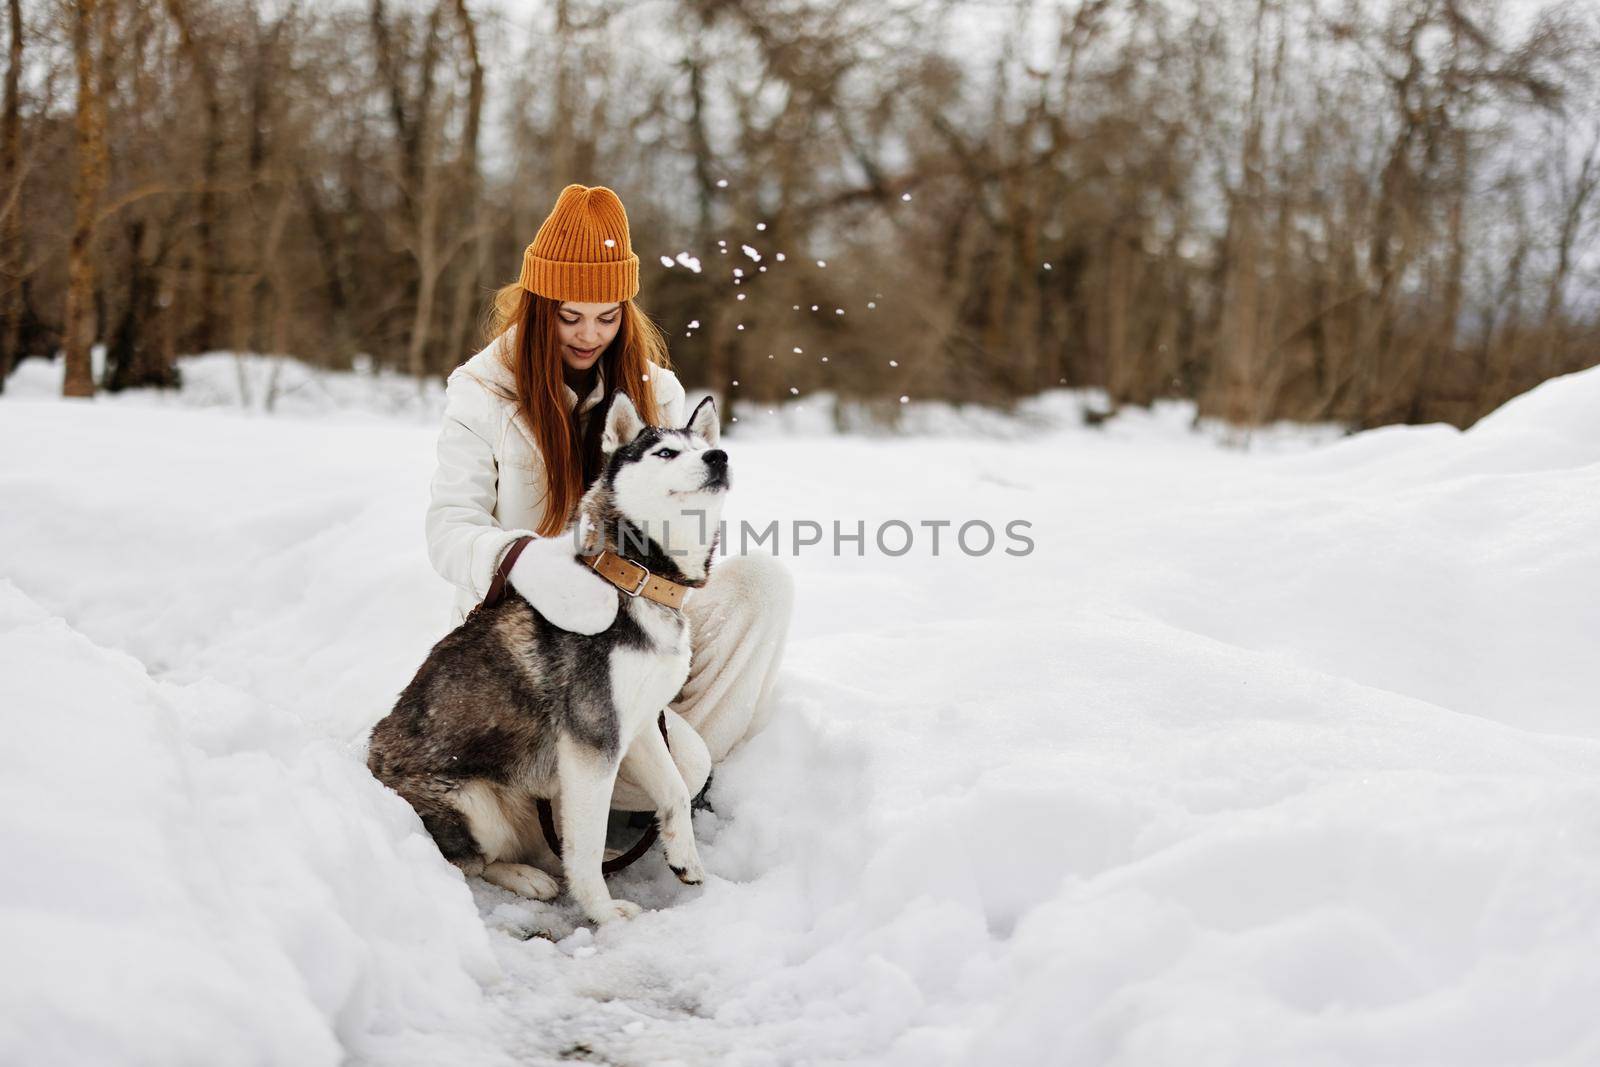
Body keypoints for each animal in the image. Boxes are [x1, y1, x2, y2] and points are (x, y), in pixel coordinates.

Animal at [368, 396, 726, 921]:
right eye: (665, 452)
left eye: (704, 445)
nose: (719, 458)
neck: (636, 579)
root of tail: (368, 761)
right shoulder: (593, 741)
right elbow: (585, 846)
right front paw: (604, 913)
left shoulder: (637, 725)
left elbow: (678, 789)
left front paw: (684, 858)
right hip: (474, 802)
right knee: (473, 862)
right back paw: (526, 877)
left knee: (546, 842)